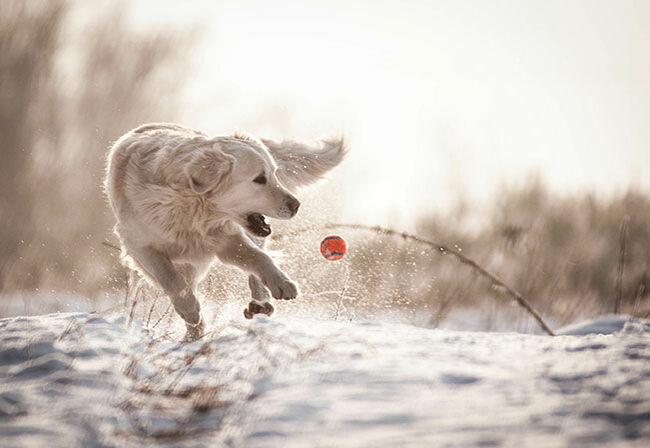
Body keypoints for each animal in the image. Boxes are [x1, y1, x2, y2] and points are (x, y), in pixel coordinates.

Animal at [104, 123, 344, 340]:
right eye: (259, 179)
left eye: (274, 174)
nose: (296, 205)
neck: (192, 210)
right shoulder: (137, 244)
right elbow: (171, 278)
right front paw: (190, 310)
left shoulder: (226, 240)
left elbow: (259, 258)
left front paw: (282, 283)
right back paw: (193, 334)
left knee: (258, 263)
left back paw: (259, 305)